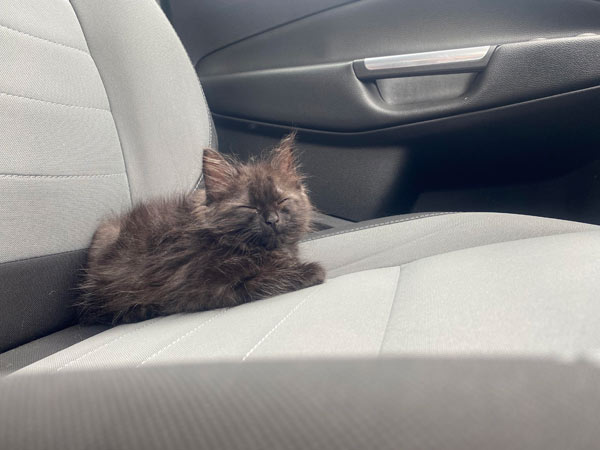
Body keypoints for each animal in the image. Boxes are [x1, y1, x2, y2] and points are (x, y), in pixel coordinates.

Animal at [79, 134, 326, 324]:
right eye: (250, 207)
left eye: (281, 200)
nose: (272, 220)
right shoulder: (210, 287)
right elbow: (270, 279)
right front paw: (310, 270)